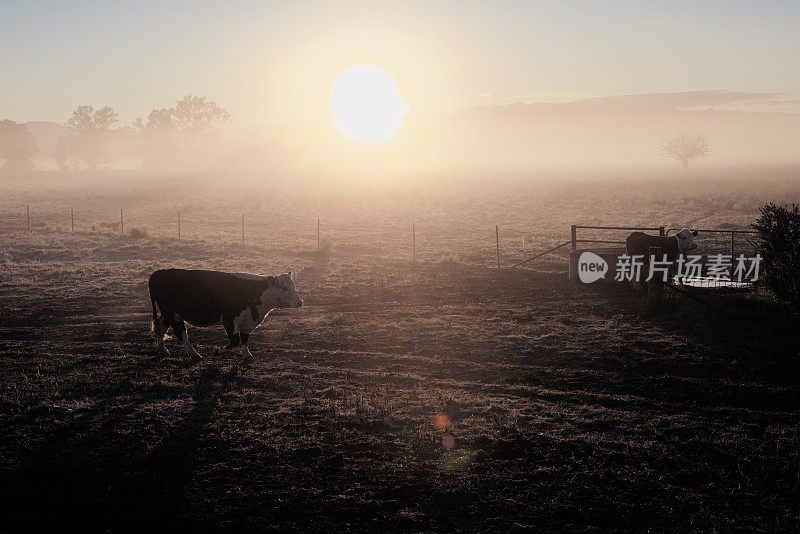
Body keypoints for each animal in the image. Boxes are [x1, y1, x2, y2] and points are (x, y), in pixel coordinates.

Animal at [148, 270, 304, 362]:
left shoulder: (246, 321)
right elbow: (234, 341)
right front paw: (218, 351)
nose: (300, 302)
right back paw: (193, 353)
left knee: (160, 327)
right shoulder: (229, 319)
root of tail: (157, 273)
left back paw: (162, 349)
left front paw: (247, 355)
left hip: (167, 314)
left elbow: (244, 338)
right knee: (181, 333)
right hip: (173, 314)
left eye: (294, 286)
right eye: (284, 288)